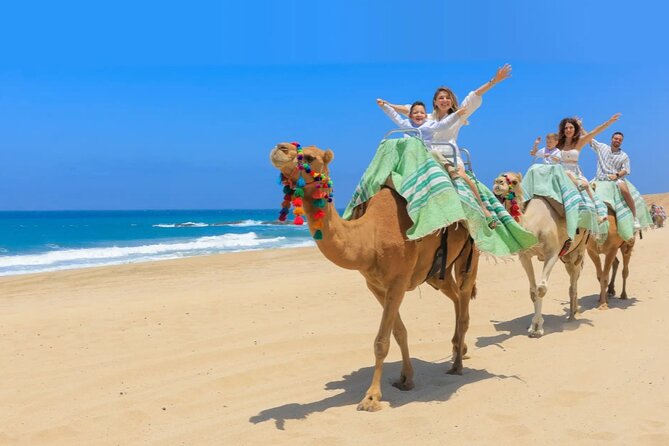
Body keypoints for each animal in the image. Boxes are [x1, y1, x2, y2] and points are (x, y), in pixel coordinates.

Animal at [270, 142, 479, 412]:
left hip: (470, 255)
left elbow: (381, 341)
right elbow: (399, 332)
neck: (371, 234)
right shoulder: (375, 285)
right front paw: (406, 379)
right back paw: (458, 350)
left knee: (464, 299)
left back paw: (457, 365)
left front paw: (371, 398)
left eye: (309, 157)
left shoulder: (398, 281)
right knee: (454, 296)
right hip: (436, 273)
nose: (280, 148)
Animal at [493, 172, 588, 337]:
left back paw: (572, 316)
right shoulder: (524, 256)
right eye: (498, 177)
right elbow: (533, 291)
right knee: (572, 275)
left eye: (515, 181)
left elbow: (542, 288)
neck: (533, 227)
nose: (498, 183)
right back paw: (573, 311)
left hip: (579, 249)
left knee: (574, 278)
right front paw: (532, 326)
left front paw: (538, 328)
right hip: (567, 256)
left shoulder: (552, 253)